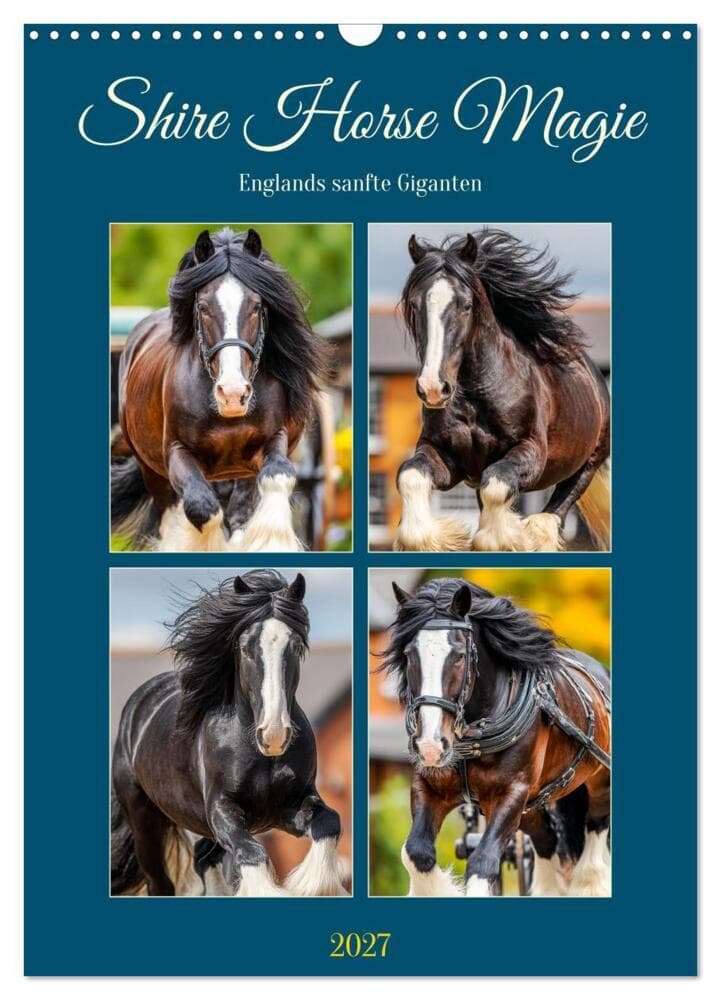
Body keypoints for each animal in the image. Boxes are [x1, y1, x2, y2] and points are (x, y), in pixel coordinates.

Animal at [111, 227, 333, 552]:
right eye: (203, 308)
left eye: (257, 306)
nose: (232, 395)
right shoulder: (176, 453)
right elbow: (203, 509)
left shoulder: (271, 442)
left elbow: (277, 478)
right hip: (153, 472)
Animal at [111, 570, 347, 897]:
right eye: (245, 648)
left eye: (297, 647)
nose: (273, 735)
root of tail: (139, 703)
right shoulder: (223, 811)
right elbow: (252, 854)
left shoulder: (289, 808)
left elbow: (330, 822)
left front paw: (313, 886)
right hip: (144, 821)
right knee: (161, 881)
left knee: (203, 858)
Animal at [382, 577, 611, 897]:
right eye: (408, 655)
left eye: (459, 655)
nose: (429, 746)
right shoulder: (429, 787)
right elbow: (416, 853)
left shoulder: (511, 793)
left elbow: (483, 863)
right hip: (533, 805)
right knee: (548, 842)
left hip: (598, 787)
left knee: (593, 845)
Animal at [394, 229, 610, 552]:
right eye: (415, 305)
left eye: (466, 305)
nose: (433, 388)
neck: (478, 395)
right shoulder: (446, 456)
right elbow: (410, 475)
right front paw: (440, 537)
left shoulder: (530, 452)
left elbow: (496, 486)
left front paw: (501, 538)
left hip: (586, 464)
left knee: (550, 516)